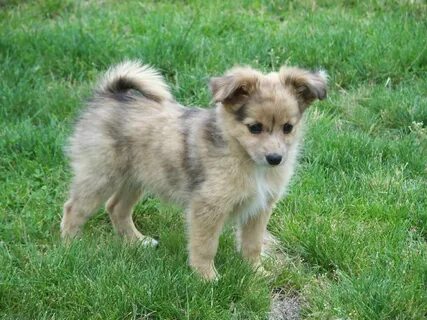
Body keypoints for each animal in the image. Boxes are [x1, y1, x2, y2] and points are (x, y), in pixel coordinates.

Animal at [60, 60, 328, 280]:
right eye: (254, 128)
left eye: (288, 127)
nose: (275, 159)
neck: (242, 155)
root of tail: (110, 95)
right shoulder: (207, 207)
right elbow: (205, 246)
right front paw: (206, 277)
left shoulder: (260, 208)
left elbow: (253, 244)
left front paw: (257, 272)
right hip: (101, 175)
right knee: (74, 208)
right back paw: (72, 247)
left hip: (135, 179)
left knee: (116, 208)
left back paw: (137, 242)